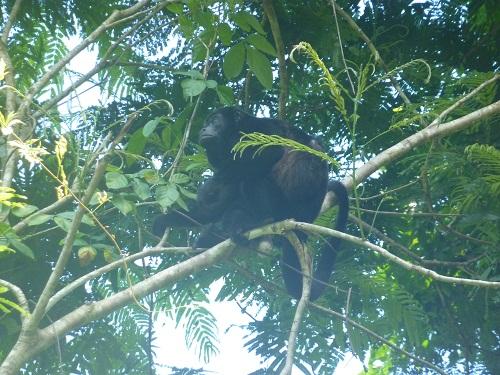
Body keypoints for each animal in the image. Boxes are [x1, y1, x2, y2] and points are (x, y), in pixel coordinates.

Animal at [154, 107, 350, 302]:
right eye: (205, 123)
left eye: (214, 121)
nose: (203, 129)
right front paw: (166, 220)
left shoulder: (258, 128)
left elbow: (271, 152)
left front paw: (210, 187)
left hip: (282, 206)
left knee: (251, 180)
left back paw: (256, 221)